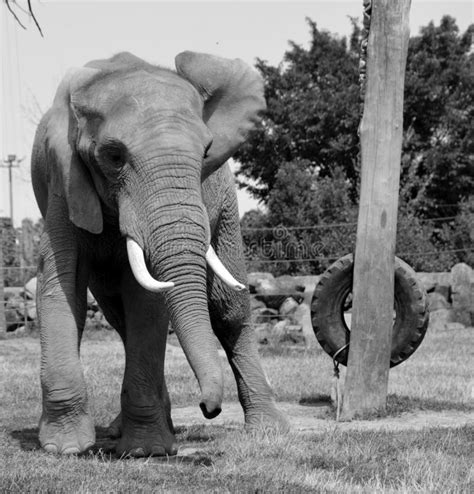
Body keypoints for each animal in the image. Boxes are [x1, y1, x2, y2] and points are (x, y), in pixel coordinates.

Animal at [31, 52, 288, 458]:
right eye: (114, 156)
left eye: (206, 152)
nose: (208, 409)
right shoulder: (65, 183)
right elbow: (60, 285)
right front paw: (65, 448)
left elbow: (147, 301)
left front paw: (145, 451)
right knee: (117, 316)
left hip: (227, 207)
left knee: (229, 312)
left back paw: (268, 429)